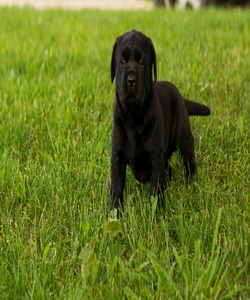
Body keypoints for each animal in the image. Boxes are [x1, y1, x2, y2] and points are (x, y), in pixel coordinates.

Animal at [110, 29, 210, 210]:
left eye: (142, 61)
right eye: (122, 61)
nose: (131, 79)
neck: (133, 115)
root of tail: (180, 96)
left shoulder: (155, 157)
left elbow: (156, 188)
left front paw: (155, 212)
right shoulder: (117, 157)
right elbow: (116, 188)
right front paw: (114, 213)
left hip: (184, 137)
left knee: (189, 161)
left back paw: (191, 183)